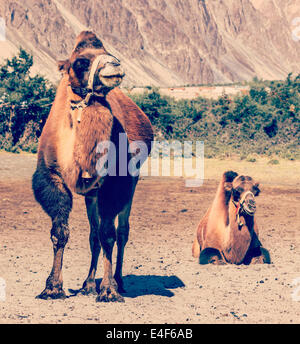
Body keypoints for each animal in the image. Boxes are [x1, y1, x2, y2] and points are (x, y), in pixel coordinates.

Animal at [31, 31, 154, 300]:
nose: (115, 66)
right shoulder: (52, 177)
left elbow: (109, 235)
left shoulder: (116, 183)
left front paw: (108, 290)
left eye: (109, 52)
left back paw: (118, 281)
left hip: (132, 182)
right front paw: (52, 287)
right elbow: (60, 232)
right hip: (91, 194)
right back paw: (88, 284)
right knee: (93, 234)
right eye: (80, 62)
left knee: (122, 231)